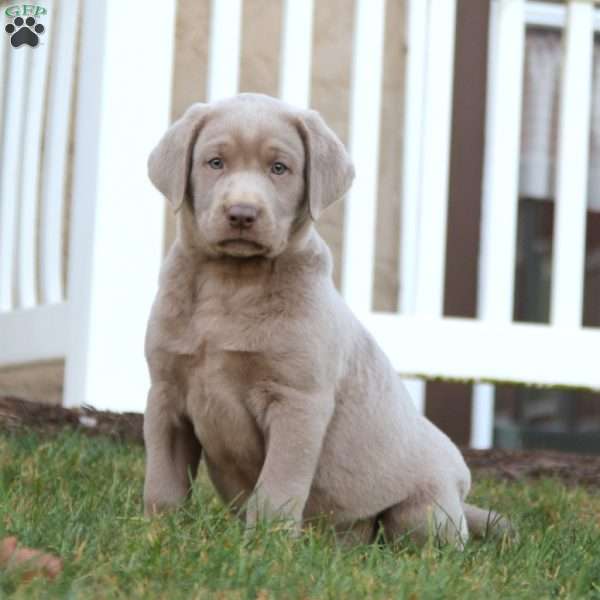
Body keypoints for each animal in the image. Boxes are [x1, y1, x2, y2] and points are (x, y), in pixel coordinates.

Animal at [143, 92, 504, 544]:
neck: (232, 283)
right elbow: (164, 479)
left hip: (425, 508)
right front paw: (157, 533)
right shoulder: (166, 393)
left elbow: (278, 485)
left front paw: (266, 544)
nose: (242, 213)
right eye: (215, 162)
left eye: (279, 168)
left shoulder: (298, 401)